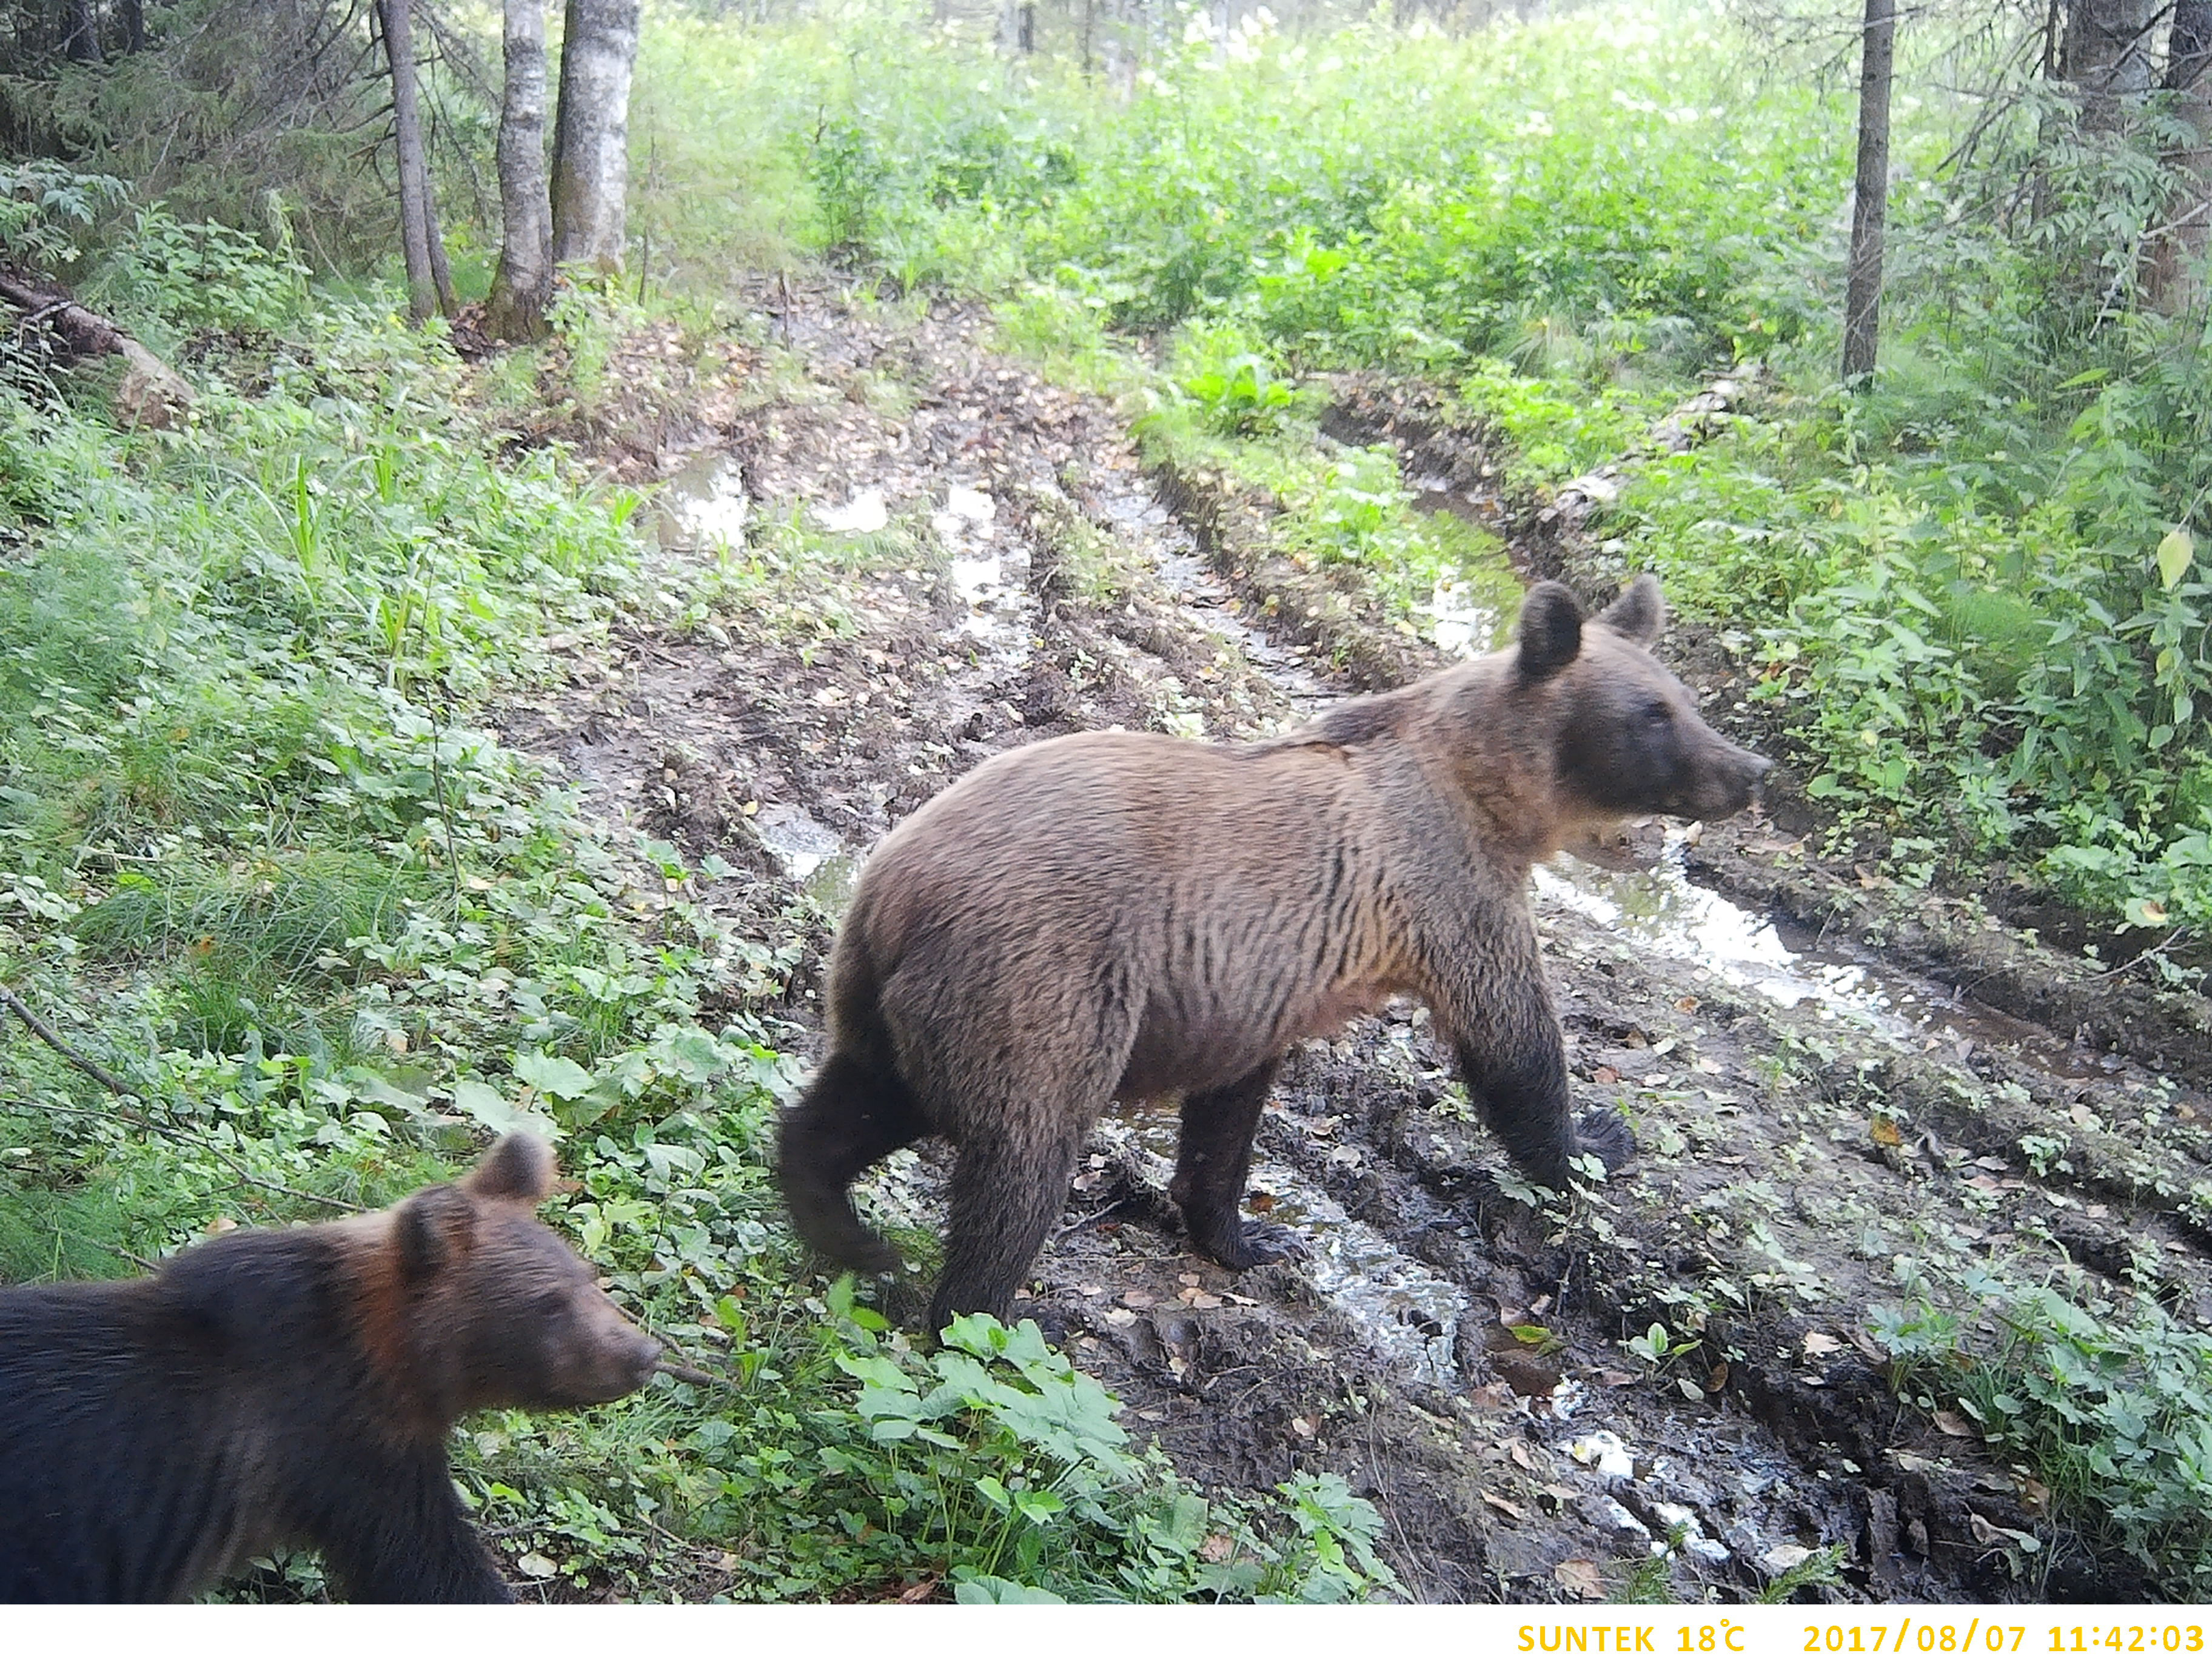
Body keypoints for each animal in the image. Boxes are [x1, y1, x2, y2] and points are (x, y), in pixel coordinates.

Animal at [0, 1141, 659, 1601]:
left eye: (588, 1277)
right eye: (549, 1301)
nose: (644, 1355)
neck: (395, 1366)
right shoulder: (348, 1455)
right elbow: (433, 1572)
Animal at [787, 579, 1769, 1336]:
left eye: (1688, 698)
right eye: (1655, 713)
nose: (1750, 770)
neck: (1498, 795)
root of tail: (895, 887)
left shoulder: (1250, 985)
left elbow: (1230, 1116)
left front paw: (1248, 1236)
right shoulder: (1450, 890)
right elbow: (1514, 1043)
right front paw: (1596, 1141)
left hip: (900, 995)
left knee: (861, 1100)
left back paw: (843, 1228)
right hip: (1043, 978)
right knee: (1019, 1161)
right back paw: (989, 1321)